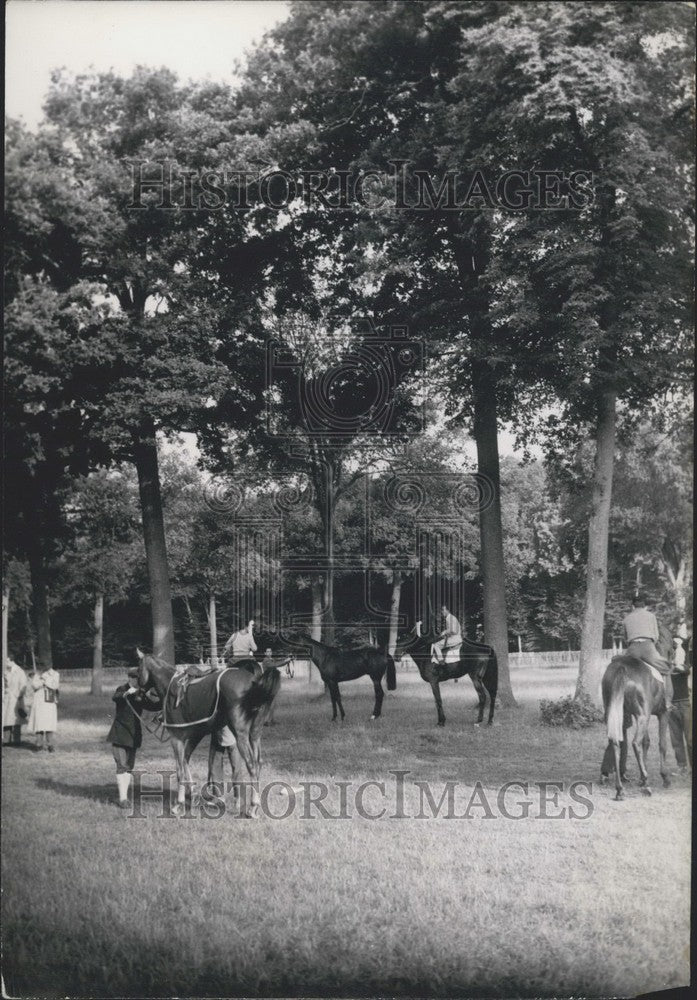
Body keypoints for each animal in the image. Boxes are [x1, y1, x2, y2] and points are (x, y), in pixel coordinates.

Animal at [135, 648, 278, 820]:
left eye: (138, 669)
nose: (138, 694)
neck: (170, 685)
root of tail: (254, 682)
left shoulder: (177, 738)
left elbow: (179, 769)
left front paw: (178, 805)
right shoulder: (195, 736)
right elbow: (185, 761)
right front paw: (194, 796)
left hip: (241, 735)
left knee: (252, 765)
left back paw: (252, 808)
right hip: (255, 734)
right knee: (258, 762)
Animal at [600, 648, 672, 804]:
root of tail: (621, 667)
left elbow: (646, 742)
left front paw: (640, 777)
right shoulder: (663, 714)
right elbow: (662, 744)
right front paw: (664, 777)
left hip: (617, 714)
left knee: (616, 742)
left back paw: (620, 789)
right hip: (643, 716)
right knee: (634, 743)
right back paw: (646, 784)